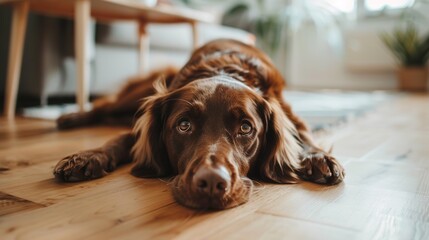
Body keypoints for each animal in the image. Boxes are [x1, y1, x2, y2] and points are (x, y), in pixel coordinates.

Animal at [53, 38, 342, 209]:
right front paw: (87, 157)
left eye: (245, 128)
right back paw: (70, 117)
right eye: (184, 125)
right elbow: (119, 139)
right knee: (104, 106)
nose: (212, 182)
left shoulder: (288, 113)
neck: (223, 70)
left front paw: (319, 159)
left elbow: (304, 137)